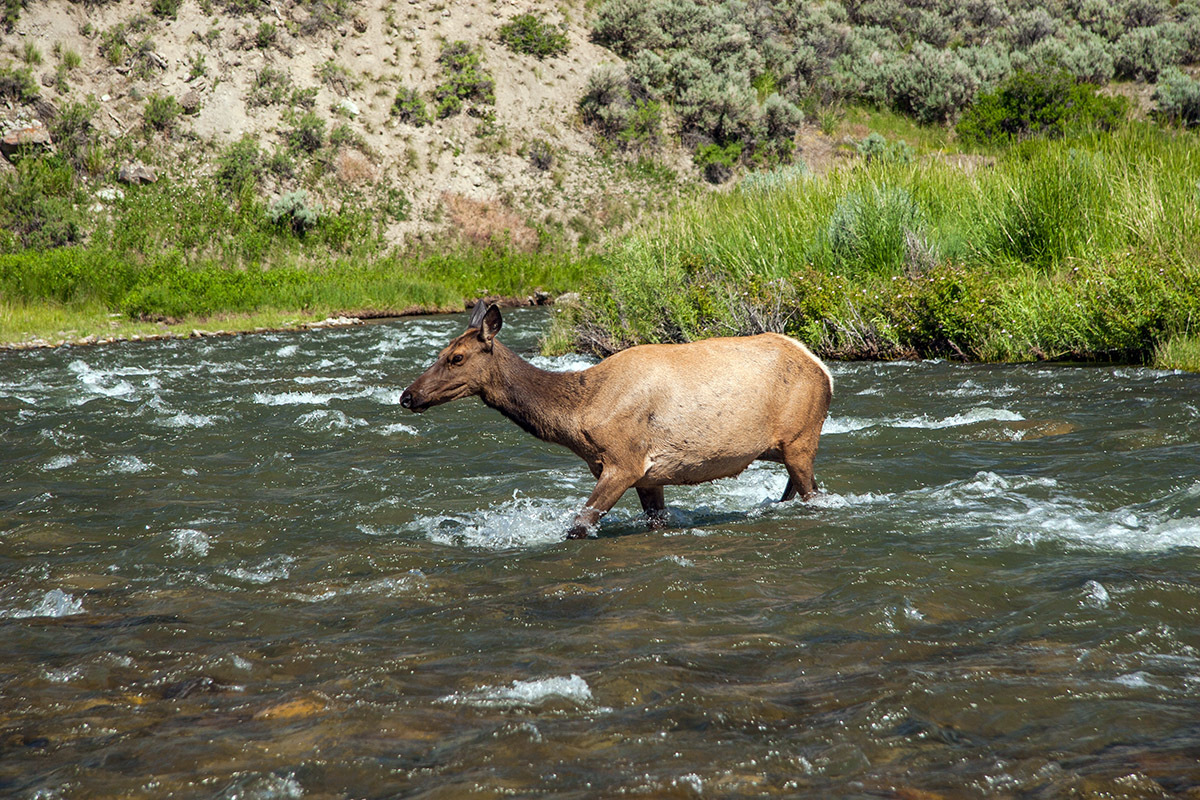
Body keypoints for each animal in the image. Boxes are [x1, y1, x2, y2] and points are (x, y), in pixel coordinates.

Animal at [403, 303, 835, 542]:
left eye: (456, 357)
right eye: (441, 353)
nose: (407, 395)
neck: (577, 417)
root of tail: (824, 368)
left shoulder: (623, 462)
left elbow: (577, 526)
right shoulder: (650, 475)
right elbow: (654, 521)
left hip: (801, 440)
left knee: (815, 494)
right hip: (781, 448)